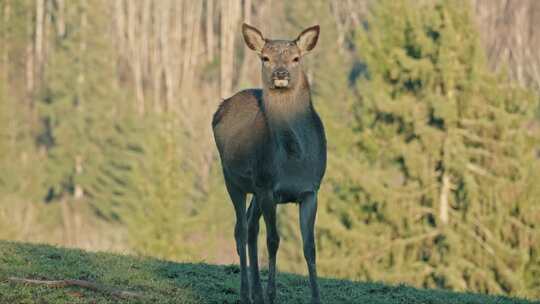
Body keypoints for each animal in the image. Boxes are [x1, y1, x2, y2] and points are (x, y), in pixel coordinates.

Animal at [212, 24, 326, 304]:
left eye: (296, 58)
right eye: (265, 57)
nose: (280, 74)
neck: (294, 160)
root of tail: (222, 104)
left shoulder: (311, 190)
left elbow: (310, 247)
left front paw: (316, 297)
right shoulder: (267, 187)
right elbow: (273, 240)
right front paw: (272, 294)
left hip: (254, 187)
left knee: (251, 227)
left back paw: (256, 292)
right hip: (232, 179)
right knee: (241, 229)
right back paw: (246, 292)